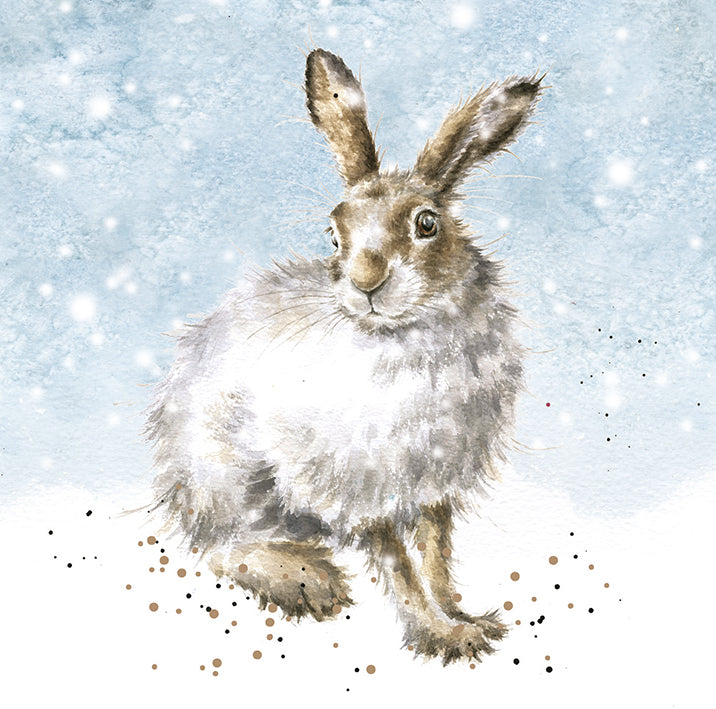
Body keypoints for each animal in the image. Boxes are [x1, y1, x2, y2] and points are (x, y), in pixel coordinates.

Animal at [145, 48, 544, 665]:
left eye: (427, 223)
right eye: (334, 235)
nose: (365, 282)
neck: (401, 334)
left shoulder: (433, 486)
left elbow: (435, 556)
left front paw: (464, 623)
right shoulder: (360, 484)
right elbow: (398, 565)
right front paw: (438, 635)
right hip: (231, 472)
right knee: (219, 546)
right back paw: (308, 580)